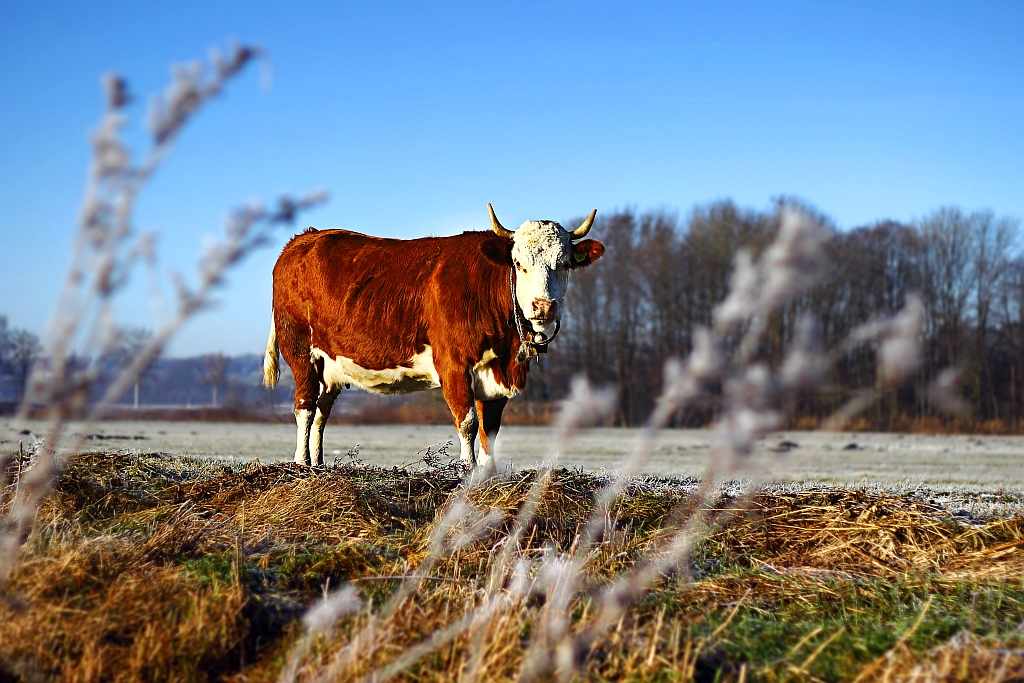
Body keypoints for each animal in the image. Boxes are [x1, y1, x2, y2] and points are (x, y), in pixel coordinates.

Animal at [260, 204, 602, 475]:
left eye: (565, 264)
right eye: (519, 263)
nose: (543, 306)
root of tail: (304, 238)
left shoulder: (495, 372)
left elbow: (490, 428)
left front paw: (490, 474)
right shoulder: (454, 365)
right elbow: (468, 422)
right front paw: (468, 471)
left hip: (330, 365)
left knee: (321, 412)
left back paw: (318, 464)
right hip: (300, 351)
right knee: (305, 407)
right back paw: (301, 463)